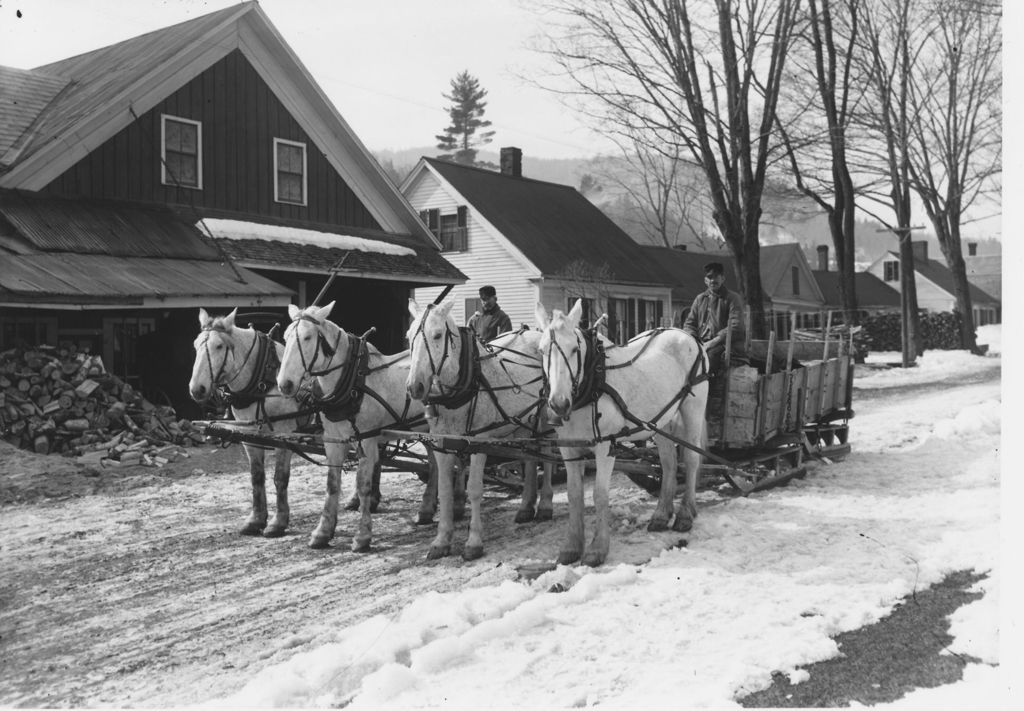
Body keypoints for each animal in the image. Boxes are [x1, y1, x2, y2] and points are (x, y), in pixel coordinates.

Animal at [186, 309, 309, 536]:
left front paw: (278, 522)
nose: (197, 389)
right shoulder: (249, 436)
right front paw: (256, 520)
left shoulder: (285, 434)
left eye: (219, 346)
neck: (264, 381)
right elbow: (256, 476)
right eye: (196, 344)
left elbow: (280, 477)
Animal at [276, 301, 452, 553]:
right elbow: (332, 484)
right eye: (286, 336)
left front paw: (362, 536)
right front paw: (322, 532)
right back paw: (426, 509)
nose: (284, 384)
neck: (351, 382)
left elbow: (363, 486)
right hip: (425, 429)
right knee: (435, 464)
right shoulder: (333, 440)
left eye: (308, 337)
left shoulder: (366, 440)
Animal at [405, 301, 552, 561]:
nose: (415, 386)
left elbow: (474, 489)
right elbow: (444, 490)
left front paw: (473, 542)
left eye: (437, 335)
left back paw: (545, 505)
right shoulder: (443, 445)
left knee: (548, 455)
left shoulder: (478, 442)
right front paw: (441, 541)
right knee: (529, 457)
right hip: (522, 422)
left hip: (545, 418)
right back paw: (526, 507)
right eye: (409, 336)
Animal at [532, 301, 708, 569]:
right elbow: (574, 495)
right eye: (541, 351)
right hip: (661, 419)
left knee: (690, 459)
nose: (559, 404)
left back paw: (685, 514)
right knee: (668, 462)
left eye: (574, 349)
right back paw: (661, 514)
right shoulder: (568, 447)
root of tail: (686, 334)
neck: (591, 384)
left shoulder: (605, 446)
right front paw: (571, 546)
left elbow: (599, 494)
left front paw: (597, 549)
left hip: (692, 409)